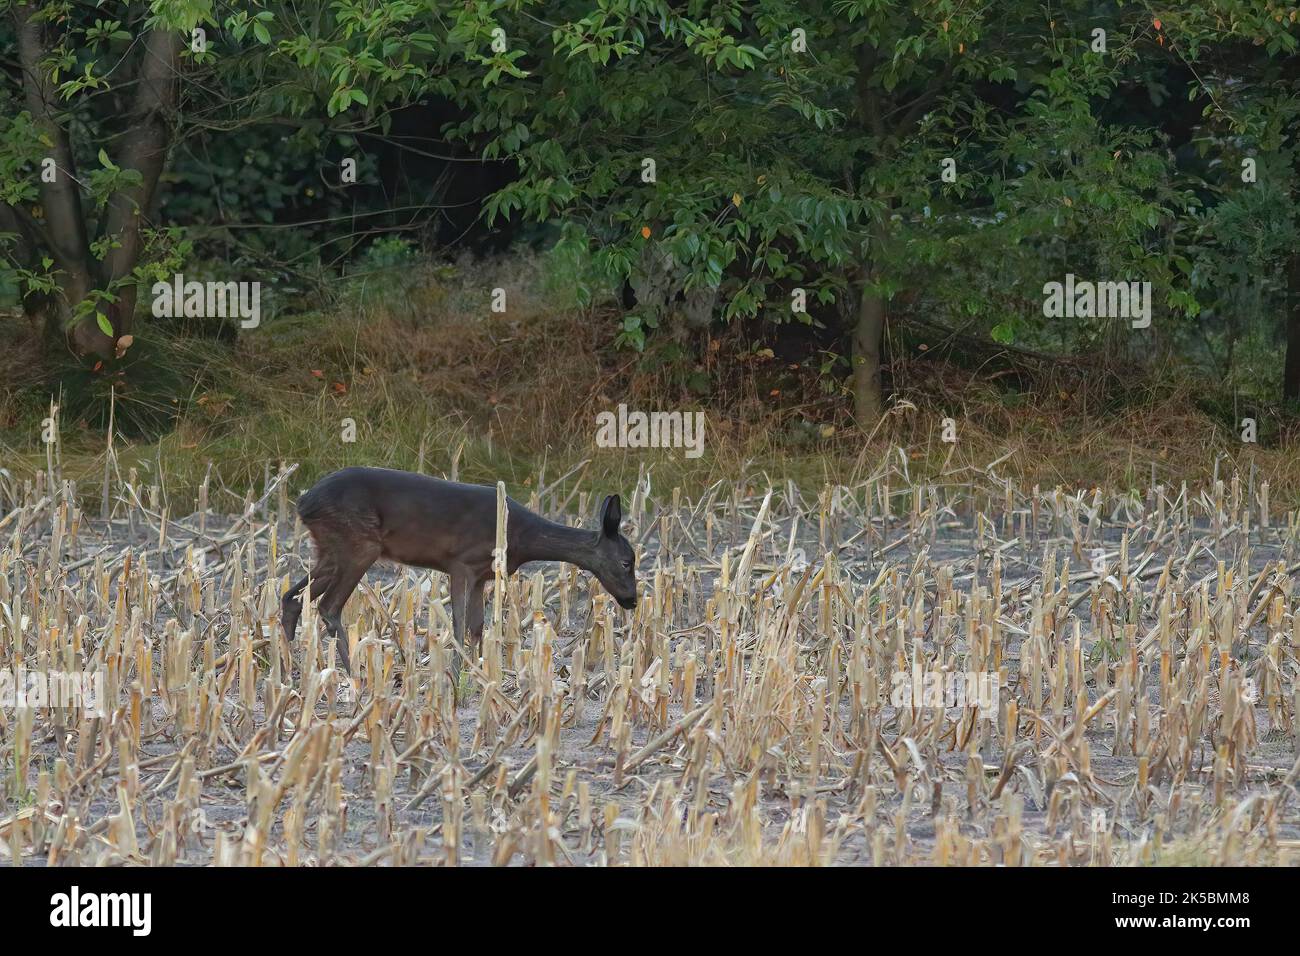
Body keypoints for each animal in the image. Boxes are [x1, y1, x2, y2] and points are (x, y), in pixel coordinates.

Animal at [282, 468, 637, 671]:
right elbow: (458, 623)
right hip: (359, 543)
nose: (632, 600)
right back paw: (356, 676)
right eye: (626, 561)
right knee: (328, 605)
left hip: (331, 548)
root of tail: (304, 503)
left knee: (292, 598)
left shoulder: (482, 574)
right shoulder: (461, 563)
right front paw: (455, 675)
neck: (520, 536)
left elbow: (478, 626)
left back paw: (288, 669)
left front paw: (478, 672)